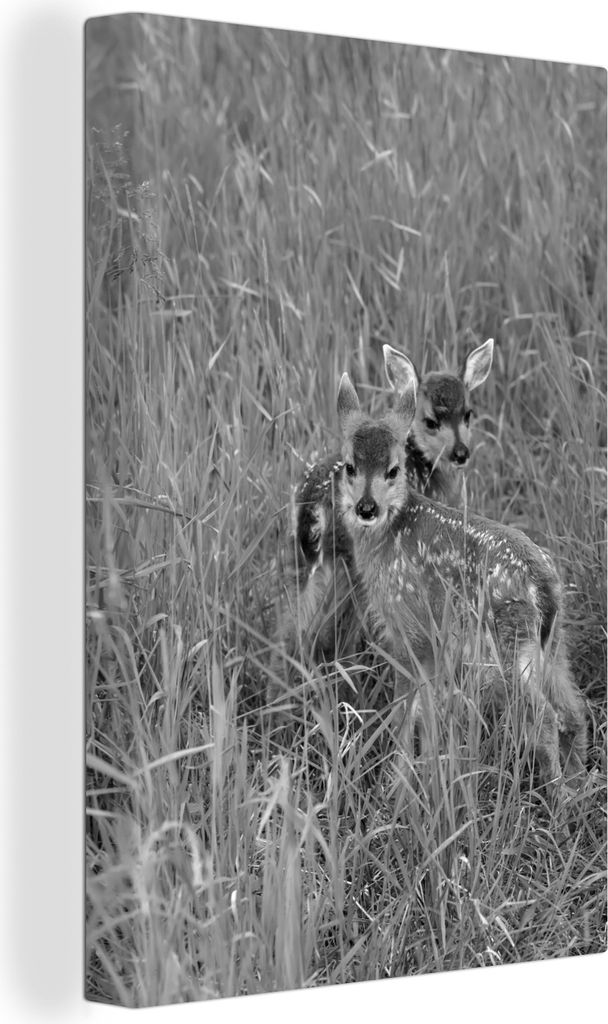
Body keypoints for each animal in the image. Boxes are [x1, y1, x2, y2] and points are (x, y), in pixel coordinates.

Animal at [271, 339, 494, 690]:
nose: (461, 453)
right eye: (431, 421)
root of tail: (311, 506)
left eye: (468, 414)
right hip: (349, 567)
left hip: (294, 558)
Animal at [335, 357, 587, 791]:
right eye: (350, 466)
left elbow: (406, 710)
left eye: (393, 470)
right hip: (553, 644)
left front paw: (396, 782)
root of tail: (543, 585)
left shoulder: (408, 627)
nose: (366, 508)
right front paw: (426, 772)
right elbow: (429, 709)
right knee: (574, 711)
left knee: (545, 717)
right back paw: (580, 786)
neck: (392, 531)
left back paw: (556, 794)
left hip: (507, 643)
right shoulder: (433, 642)